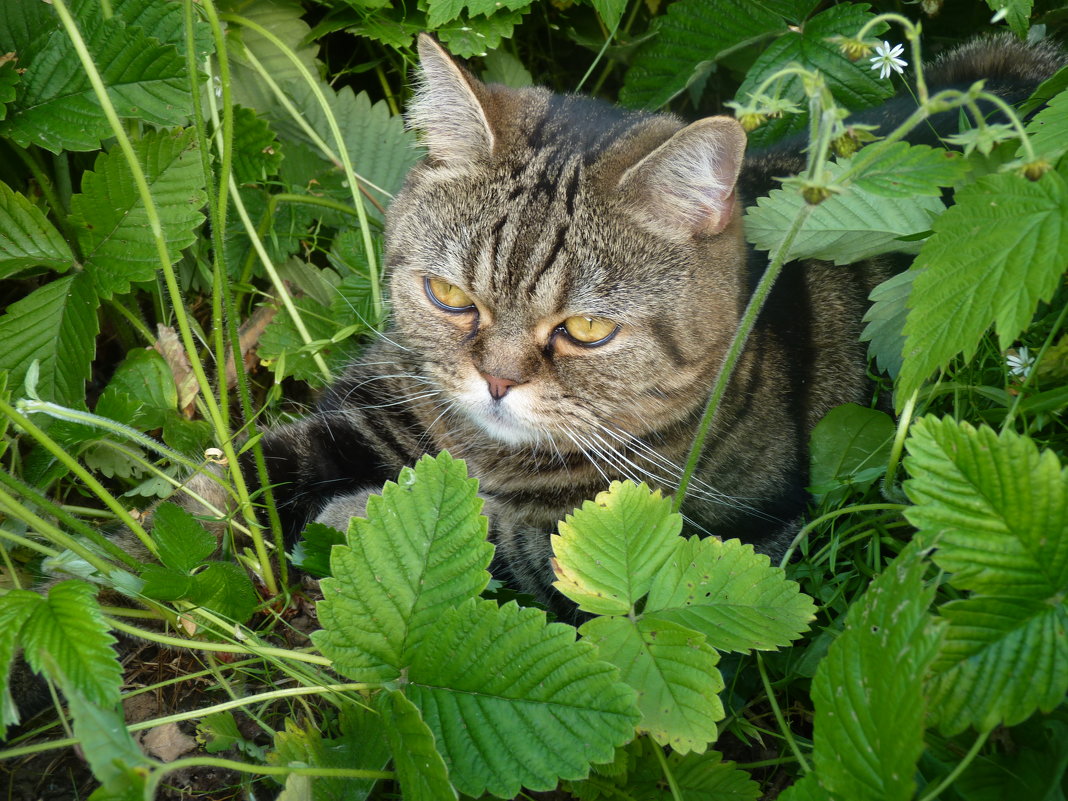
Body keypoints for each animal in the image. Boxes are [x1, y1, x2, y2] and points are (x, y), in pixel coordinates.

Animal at [252, 32, 1059, 615]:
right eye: (450, 294)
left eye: (585, 330)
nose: (496, 382)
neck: (486, 453)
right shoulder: (374, 409)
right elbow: (252, 464)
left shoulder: (737, 529)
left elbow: (509, 544)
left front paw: (350, 515)